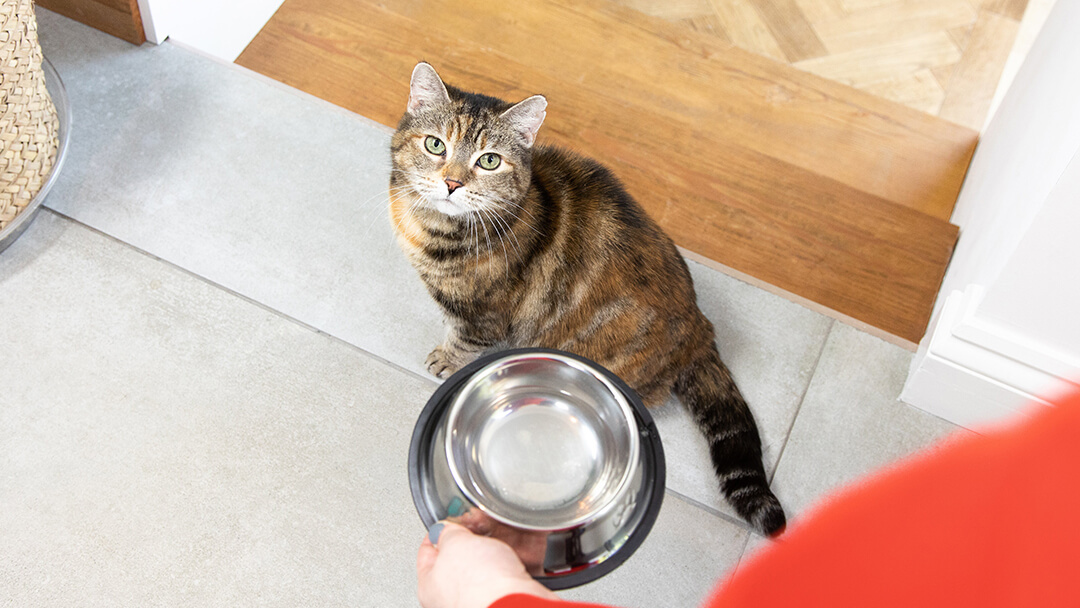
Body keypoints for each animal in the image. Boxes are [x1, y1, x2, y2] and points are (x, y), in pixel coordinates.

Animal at [388, 63, 786, 537]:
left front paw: (446, 358)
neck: (431, 228)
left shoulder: (484, 314)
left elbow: (465, 338)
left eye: (489, 160)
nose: (451, 182)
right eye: (435, 145)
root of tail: (701, 328)